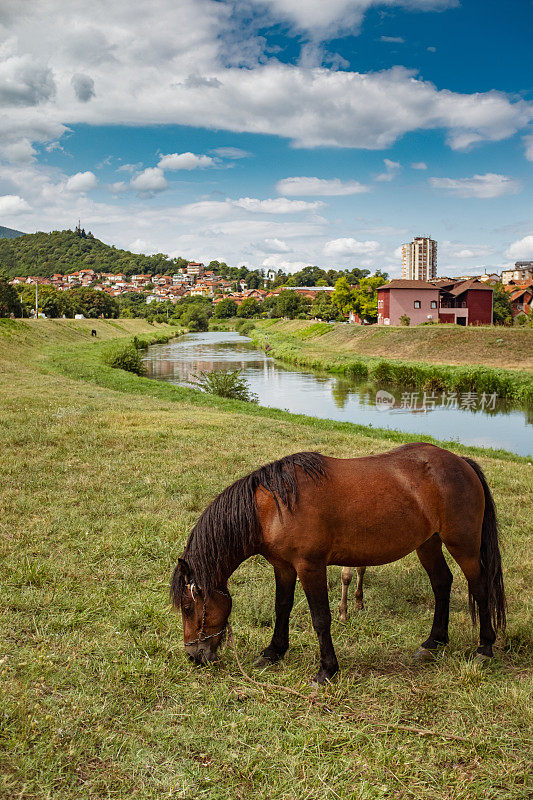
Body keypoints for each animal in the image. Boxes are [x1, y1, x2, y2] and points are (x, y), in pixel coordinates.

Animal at [172, 440, 504, 684]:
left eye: (188, 607)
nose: (193, 656)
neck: (274, 507)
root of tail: (461, 462)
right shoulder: (283, 567)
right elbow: (282, 608)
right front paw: (273, 652)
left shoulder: (310, 567)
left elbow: (321, 618)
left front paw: (327, 670)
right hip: (428, 544)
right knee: (442, 584)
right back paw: (433, 643)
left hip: (463, 546)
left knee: (480, 588)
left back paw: (484, 647)